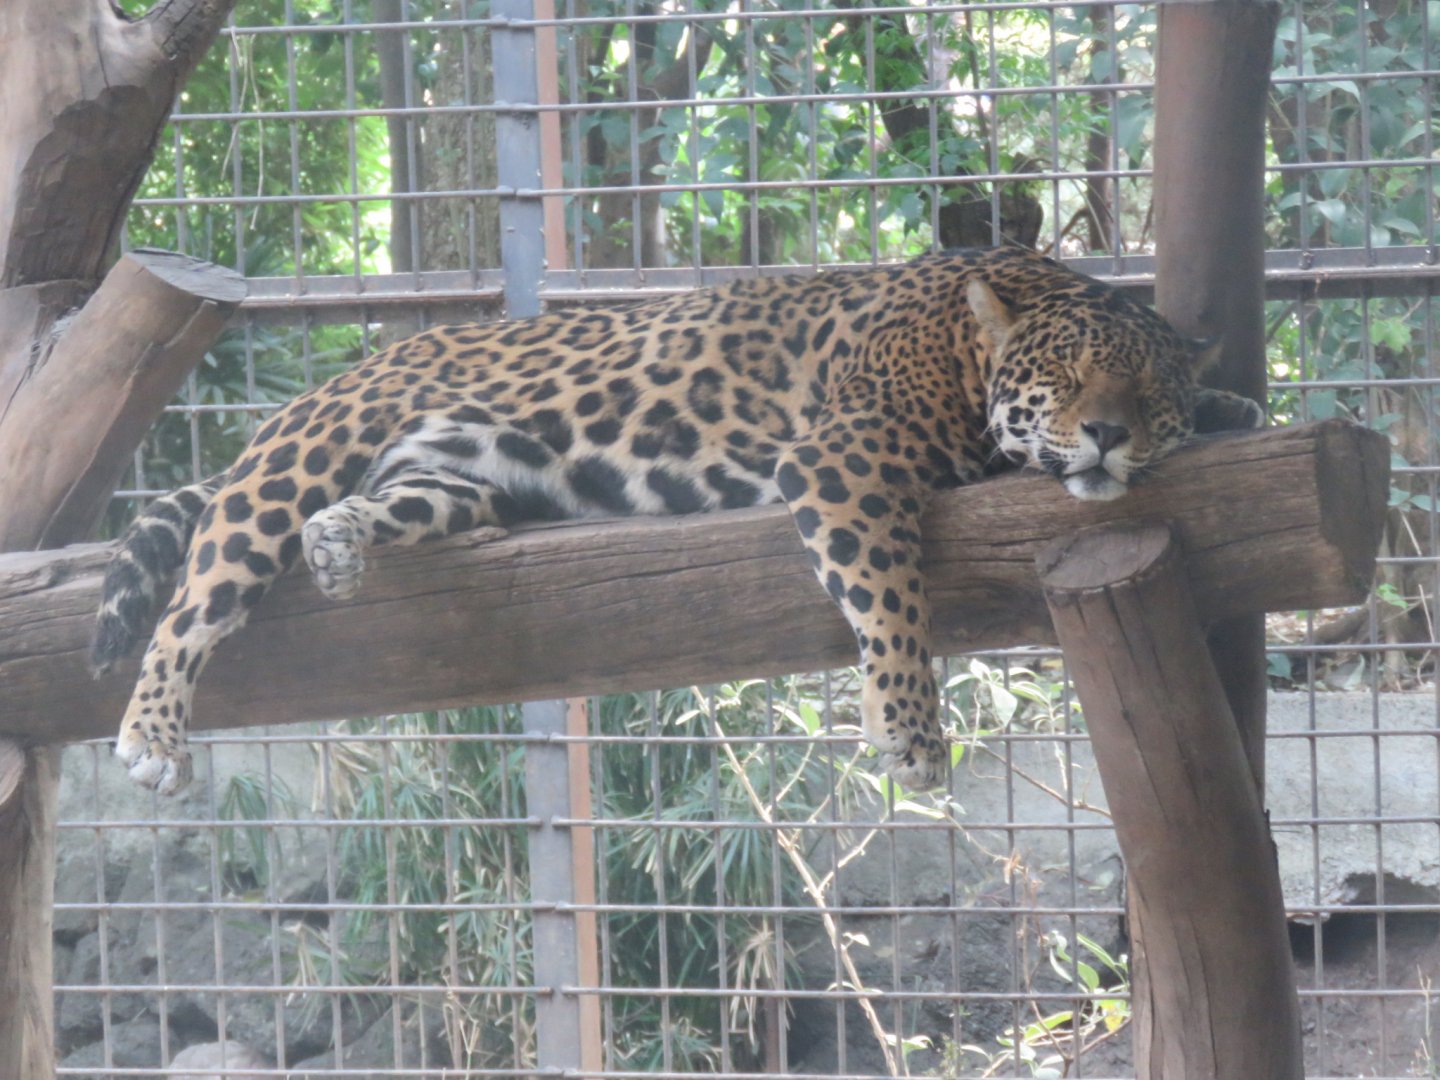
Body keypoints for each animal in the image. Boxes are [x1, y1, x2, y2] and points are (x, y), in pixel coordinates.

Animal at [90, 245, 1262, 795]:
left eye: (1144, 386)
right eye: (1066, 376)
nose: (1106, 434)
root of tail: (349, 368)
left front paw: (1232, 408)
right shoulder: (847, 455)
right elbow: (891, 590)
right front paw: (909, 730)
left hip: (464, 479)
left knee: (393, 506)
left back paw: (342, 542)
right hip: (297, 459)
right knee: (196, 596)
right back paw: (150, 734)